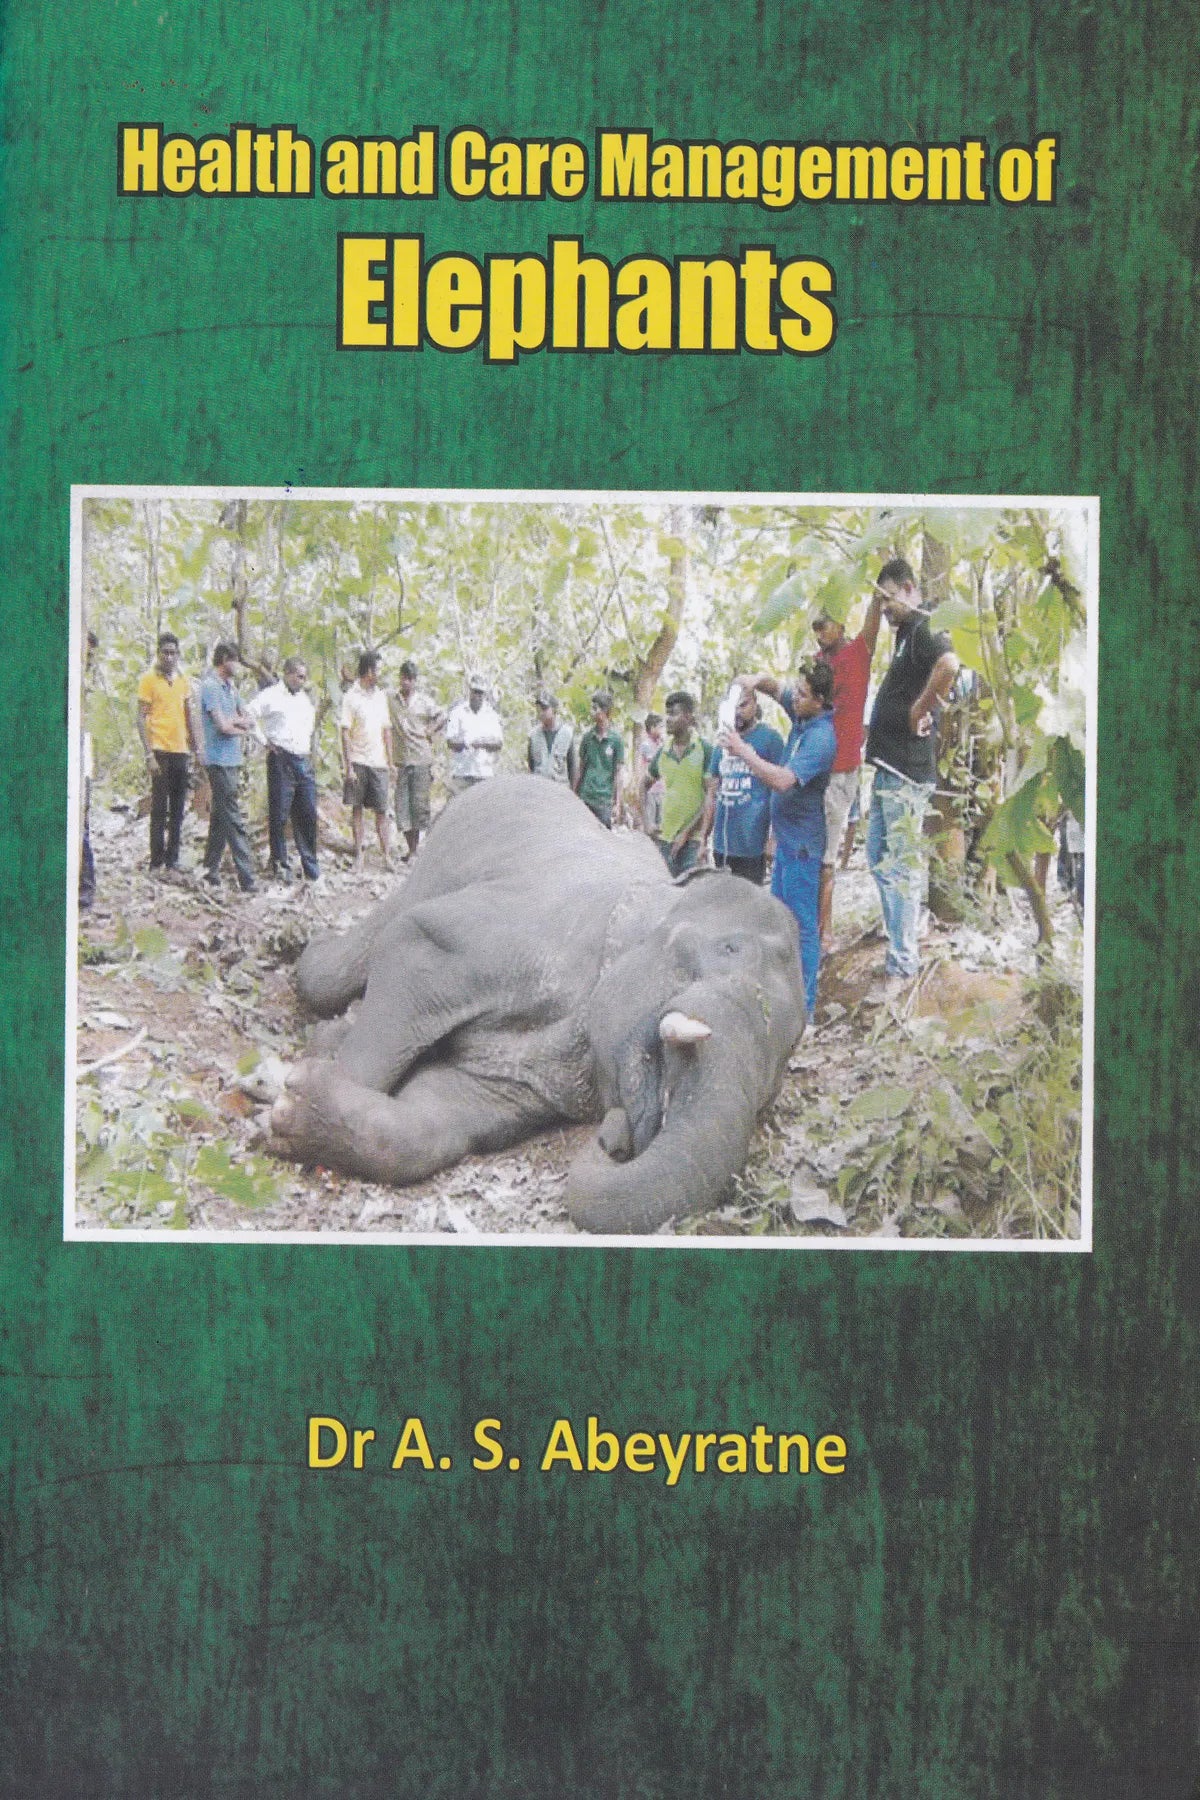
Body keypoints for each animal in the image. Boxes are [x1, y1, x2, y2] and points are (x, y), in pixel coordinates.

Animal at [269, 775, 807, 1232]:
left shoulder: (531, 1079)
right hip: (431, 862)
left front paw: (296, 1108)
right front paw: (292, 1092)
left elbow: (438, 1112)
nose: (612, 1138)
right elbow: (417, 943)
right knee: (347, 958)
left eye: (786, 1055)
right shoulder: (520, 937)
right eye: (730, 949)